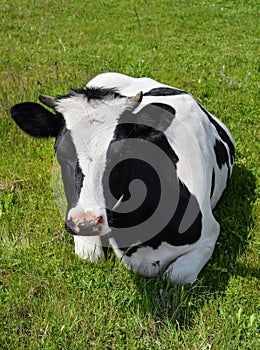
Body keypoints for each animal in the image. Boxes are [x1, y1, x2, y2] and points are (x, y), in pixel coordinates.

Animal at [10, 72, 235, 284]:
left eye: (122, 152)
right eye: (61, 152)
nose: (86, 222)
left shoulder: (209, 235)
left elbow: (176, 275)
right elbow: (90, 256)